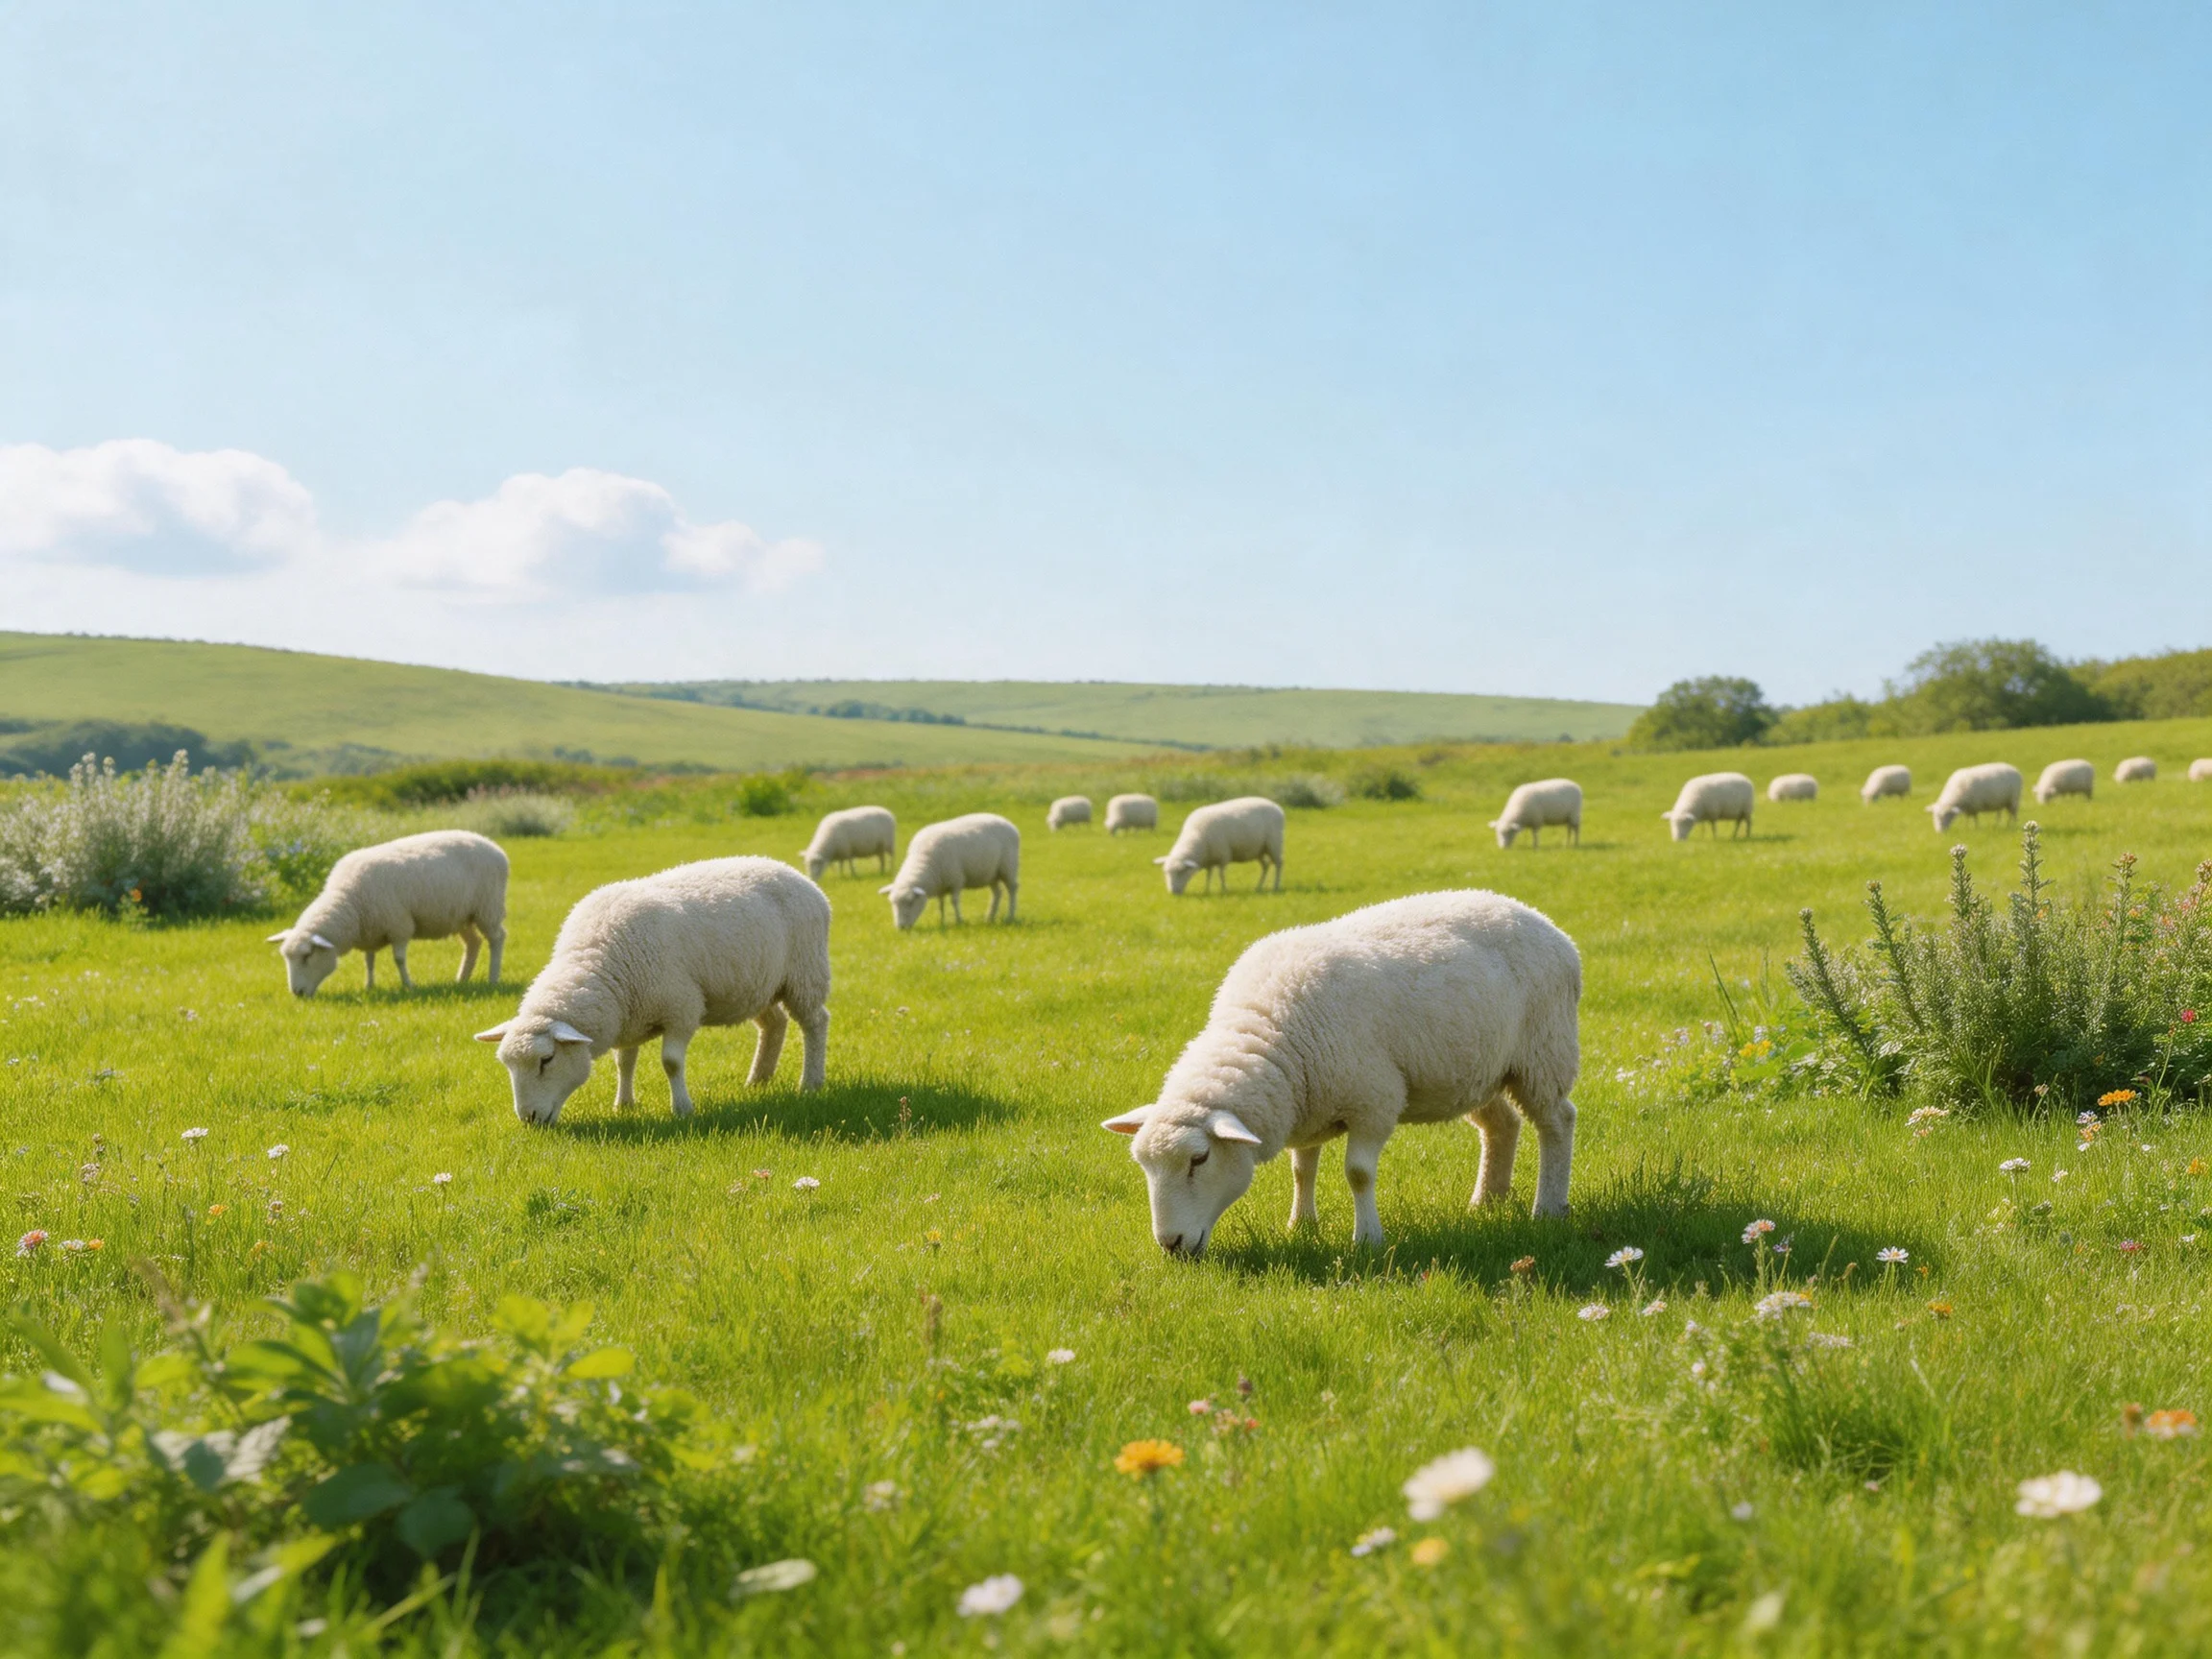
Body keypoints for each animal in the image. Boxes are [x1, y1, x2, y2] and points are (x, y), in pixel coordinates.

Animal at [268, 830, 507, 997]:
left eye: (307, 956)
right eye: (286, 957)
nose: (297, 993)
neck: (349, 901)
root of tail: (495, 847)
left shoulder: (399, 926)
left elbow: (399, 959)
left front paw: (408, 985)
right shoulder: (369, 931)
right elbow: (369, 961)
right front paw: (369, 986)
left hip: (488, 907)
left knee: (496, 938)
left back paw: (493, 978)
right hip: (462, 916)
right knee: (473, 943)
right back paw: (462, 979)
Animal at [475, 855, 829, 1125]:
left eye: (546, 1060)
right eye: (508, 1065)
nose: (529, 1118)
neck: (598, 959)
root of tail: (795, 874)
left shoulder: (682, 1009)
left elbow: (671, 1063)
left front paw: (682, 1109)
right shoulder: (629, 1015)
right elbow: (624, 1062)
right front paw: (624, 1104)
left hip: (806, 973)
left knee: (815, 1022)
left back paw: (810, 1083)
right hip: (758, 984)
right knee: (774, 1024)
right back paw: (758, 1080)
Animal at [880, 813, 1020, 929]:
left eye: (910, 903)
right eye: (892, 903)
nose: (901, 927)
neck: (925, 860)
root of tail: (1008, 823)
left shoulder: (956, 880)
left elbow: (954, 901)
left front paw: (959, 921)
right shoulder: (940, 885)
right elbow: (941, 904)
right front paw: (942, 922)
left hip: (1008, 867)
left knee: (1012, 889)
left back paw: (1010, 916)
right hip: (991, 873)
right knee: (997, 893)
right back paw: (990, 918)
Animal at [1102, 889, 1581, 1254]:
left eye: (1199, 1159)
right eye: (1144, 1165)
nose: (1170, 1243)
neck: (1270, 1032)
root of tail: (1549, 926)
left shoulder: (1374, 1101)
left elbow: (1358, 1174)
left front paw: (1367, 1239)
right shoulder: (1308, 1102)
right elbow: (1302, 1169)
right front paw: (1301, 1225)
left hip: (1543, 1053)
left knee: (1557, 1122)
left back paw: (1547, 1208)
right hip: (1476, 1070)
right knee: (1502, 1125)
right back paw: (1486, 1202)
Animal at [1156, 797, 1285, 894]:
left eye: (1181, 871)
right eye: (1166, 872)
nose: (1173, 892)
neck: (1197, 836)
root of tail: (1277, 807)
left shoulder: (1223, 855)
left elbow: (1221, 874)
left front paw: (1224, 889)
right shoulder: (1209, 858)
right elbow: (1209, 875)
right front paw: (1206, 890)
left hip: (1274, 844)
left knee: (1278, 864)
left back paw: (1276, 886)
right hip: (1259, 850)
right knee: (1265, 866)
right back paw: (1259, 887)